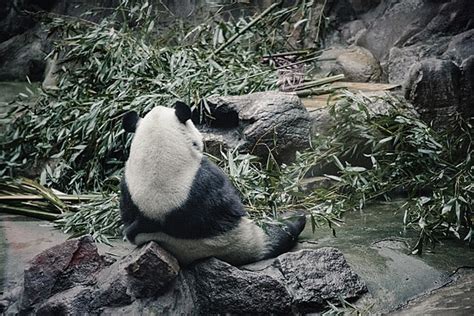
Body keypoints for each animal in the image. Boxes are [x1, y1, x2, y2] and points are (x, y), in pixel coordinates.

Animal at [119, 102, 308, 266]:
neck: (158, 159)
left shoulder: (126, 187)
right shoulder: (208, 181)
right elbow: (230, 206)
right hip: (243, 241)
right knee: (279, 232)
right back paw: (296, 217)